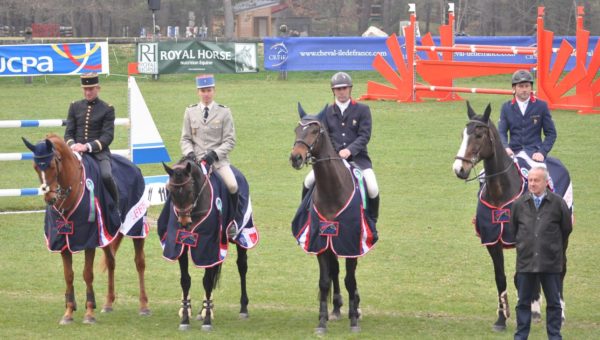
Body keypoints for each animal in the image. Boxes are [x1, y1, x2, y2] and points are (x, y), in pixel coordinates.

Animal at [23, 134, 150, 326]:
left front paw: (89, 313)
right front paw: (68, 312)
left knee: (139, 263)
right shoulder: (64, 241)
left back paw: (143, 306)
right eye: (36, 167)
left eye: (51, 165)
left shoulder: (89, 240)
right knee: (111, 262)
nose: (50, 198)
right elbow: (68, 275)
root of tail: (134, 167)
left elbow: (87, 274)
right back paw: (108, 303)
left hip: (136, 226)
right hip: (106, 235)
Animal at [158, 160, 256, 332]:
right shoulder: (181, 246)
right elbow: (186, 280)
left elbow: (207, 281)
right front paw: (185, 318)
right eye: (170, 191)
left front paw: (207, 321)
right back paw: (202, 310)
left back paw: (243, 308)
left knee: (242, 267)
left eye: (190, 190)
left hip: (242, 234)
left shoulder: (208, 246)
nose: (184, 223)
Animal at [288, 103, 378, 332]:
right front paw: (322, 322)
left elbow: (350, 280)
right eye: (296, 129)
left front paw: (354, 319)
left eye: (314, 131)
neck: (332, 190)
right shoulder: (321, 241)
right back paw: (336, 308)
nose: (296, 158)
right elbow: (324, 281)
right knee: (335, 271)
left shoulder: (352, 242)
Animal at [452, 102, 568, 330]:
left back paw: (557, 311)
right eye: (463, 134)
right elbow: (501, 278)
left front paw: (523, 310)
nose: (459, 169)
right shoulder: (492, 241)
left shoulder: (521, 240)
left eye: (479, 135)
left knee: (560, 270)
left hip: (562, 237)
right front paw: (501, 318)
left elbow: (520, 277)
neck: (501, 193)